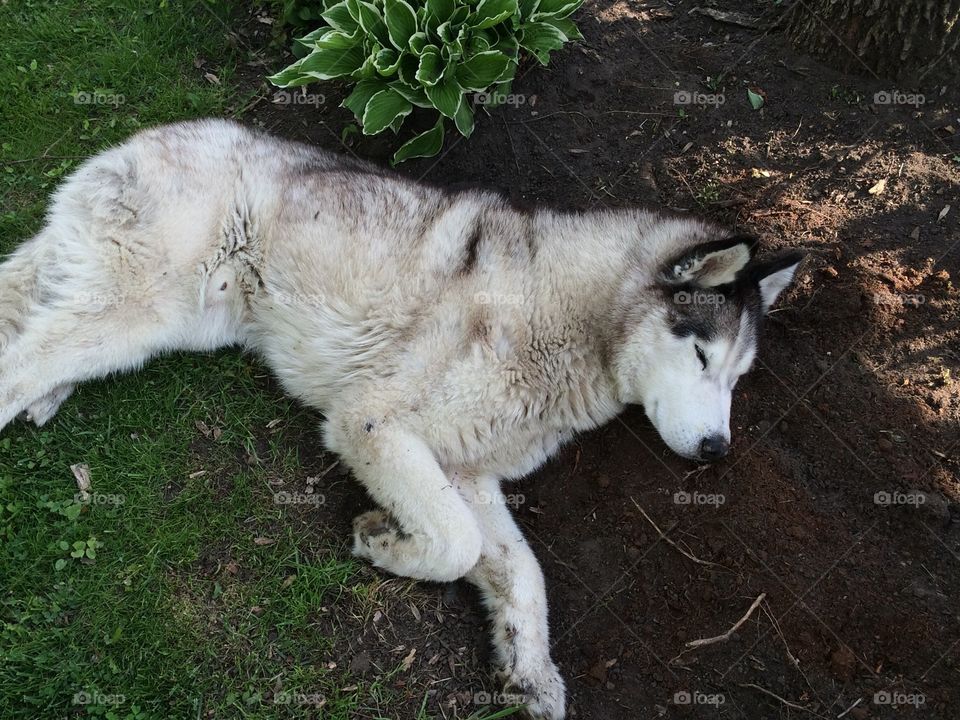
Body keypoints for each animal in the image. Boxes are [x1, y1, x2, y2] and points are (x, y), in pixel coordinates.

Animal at [1, 121, 804, 716]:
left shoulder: (466, 471)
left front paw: (530, 668)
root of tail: (150, 136)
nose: (716, 449)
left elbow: (522, 571)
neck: (565, 324)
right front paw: (384, 540)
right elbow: (453, 543)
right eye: (700, 355)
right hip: (147, 309)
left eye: (738, 379)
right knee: (21, 360)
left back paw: (51, 393)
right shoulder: (372, 425)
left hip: (176, 320)